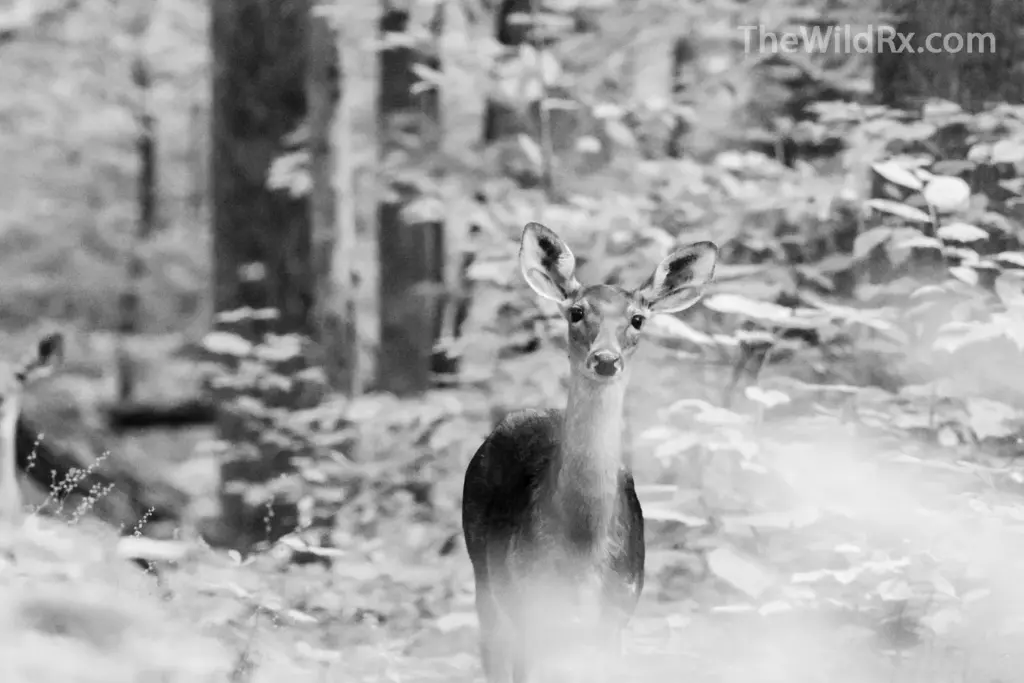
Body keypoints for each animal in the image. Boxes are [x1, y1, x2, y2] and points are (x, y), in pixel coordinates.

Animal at [462, 223, 718, 682]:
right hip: (484, 574)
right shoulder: (527, 609)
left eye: (637, 319)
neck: (581, 553)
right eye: (577, 312)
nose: (605, 359)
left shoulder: (617, 617)